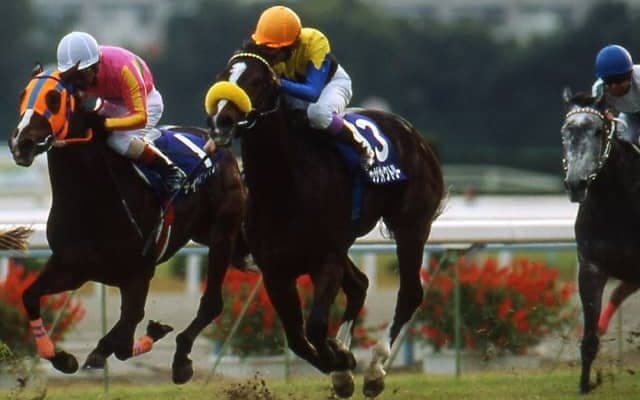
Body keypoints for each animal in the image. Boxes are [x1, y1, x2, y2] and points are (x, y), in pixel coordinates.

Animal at [8, 68, 246, 384]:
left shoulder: (139, 273)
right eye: (22, 95)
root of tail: (216, 142)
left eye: (54, 99)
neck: (91, 200)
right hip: (205, 232)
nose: (20, 143)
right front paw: (62, 357)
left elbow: (123, 337)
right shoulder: (71, 268)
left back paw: (181, 360)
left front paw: (110, 348)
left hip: (222, 234)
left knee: (212, 303)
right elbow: (30, 296)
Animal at [204, 47, 445, 398]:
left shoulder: (326, 258)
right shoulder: (276, 271)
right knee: (359, 285)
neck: (285, 186)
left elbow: (316, 326)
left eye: (257, 81)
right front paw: (339, 363)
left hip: (411, 225)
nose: (220, 121)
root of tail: (414, 134)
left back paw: (375, 368)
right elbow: (297, 339)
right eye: (223, 76)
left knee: (410, 293)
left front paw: (343, 361)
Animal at [561, 87, 640, 393]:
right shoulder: (592, 265)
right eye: (565, 131)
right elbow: (590, 337)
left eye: (598, 130)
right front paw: (585, 384)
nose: (576, 183)